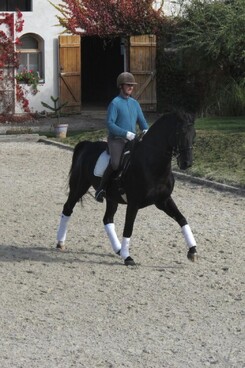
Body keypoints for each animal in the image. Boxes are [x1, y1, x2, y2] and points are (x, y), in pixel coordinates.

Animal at [57, 110, 197, 266]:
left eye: (194, 134)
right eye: (179, 132)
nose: (187, 163)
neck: (151, 164)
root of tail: (87, 145)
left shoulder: (163, 200)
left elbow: (182, 219)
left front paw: (192, 251)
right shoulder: (133, 203)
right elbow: (128, 228)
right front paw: (127, 257)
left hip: (111, 198)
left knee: (107, 219)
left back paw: (118, 249)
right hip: (79, 187)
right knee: (67, 208)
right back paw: (60, 243)